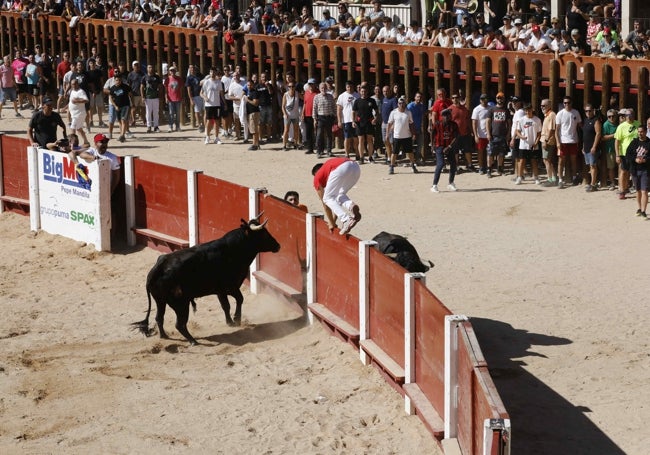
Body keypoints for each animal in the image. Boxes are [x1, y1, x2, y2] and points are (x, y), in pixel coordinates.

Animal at [133, 214, 280, 346]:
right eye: (263, 234)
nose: (278, 246)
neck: (233, 249)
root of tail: (158, 267)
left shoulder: (220, 291)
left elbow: (225, 305)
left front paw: (230, 322)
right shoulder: (230, 287)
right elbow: (239, 299)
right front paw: (237, 319)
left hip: (161, 301)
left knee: (159, 317)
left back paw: (164, 336)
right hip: (181, 304)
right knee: (179, 324)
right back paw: (193, 341)